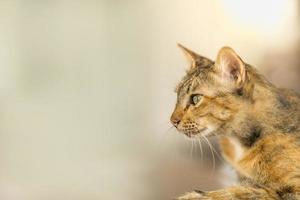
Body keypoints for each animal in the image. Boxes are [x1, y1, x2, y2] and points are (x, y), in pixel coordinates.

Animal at [170, 44, 300, 199]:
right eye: (177, 96)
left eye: (196, 98)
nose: (172, 121)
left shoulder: (293, 189)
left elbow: (248, 191)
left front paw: (196, 195)